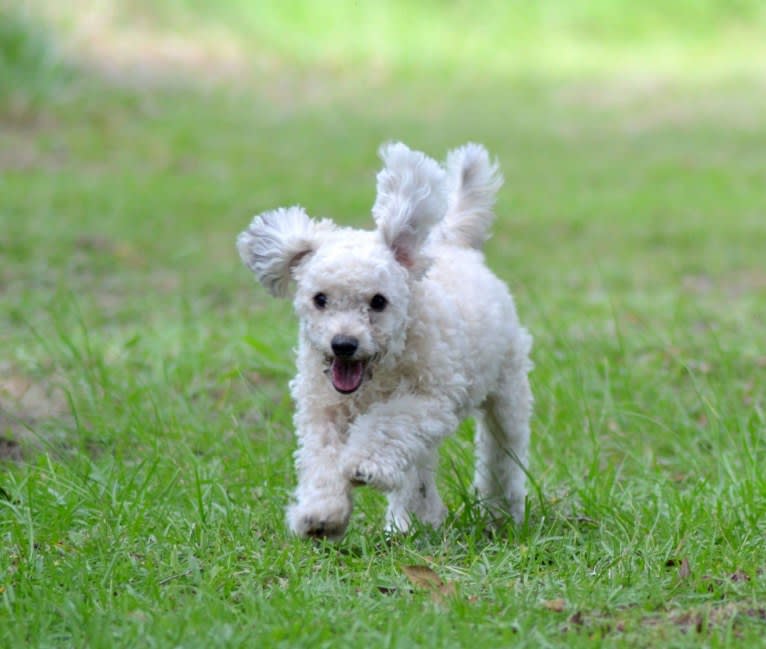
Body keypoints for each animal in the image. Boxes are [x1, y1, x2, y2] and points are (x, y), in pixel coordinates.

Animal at [238, 143, 536, 540]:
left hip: (507, 390)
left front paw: (365, 465)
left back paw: (503, 512)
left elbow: (386, 423)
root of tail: (455, 245)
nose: (343, 344)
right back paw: (413, 519)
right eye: (320, 299)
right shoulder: (322, 409)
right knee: (418, 468)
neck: (374, 377)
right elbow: (321, 458)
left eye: (378, 301)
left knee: (502, 453)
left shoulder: (428, 399)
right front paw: (321, 514)